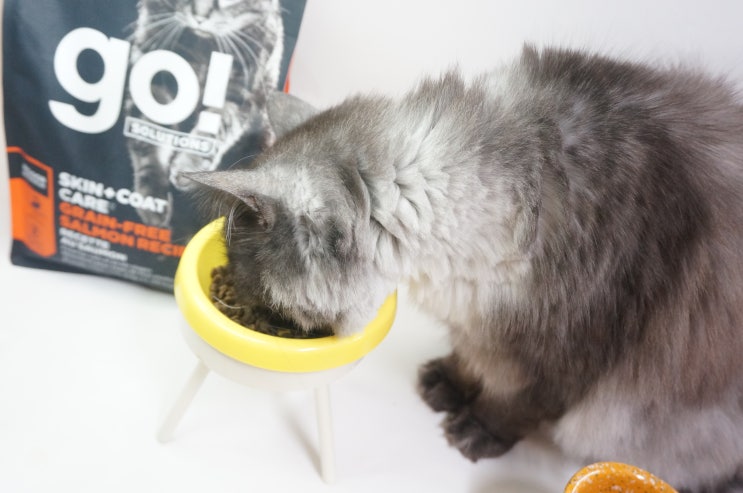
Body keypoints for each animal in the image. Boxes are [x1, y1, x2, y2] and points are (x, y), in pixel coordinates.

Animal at [124, 0, 284, 227]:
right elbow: (150, 139)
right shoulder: (155, 81)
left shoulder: (239, 94)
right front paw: (151, 199)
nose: (199, 17)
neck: (203, 50)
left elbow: (214, 129)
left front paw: (188, 165)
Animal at [187, 46, 743, 493]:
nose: (262, 320)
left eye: (270, 304)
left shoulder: (557, 355)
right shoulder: (478, 315)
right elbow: (469, 356)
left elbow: (514, 402)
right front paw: (447, 386)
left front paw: (476, 427)